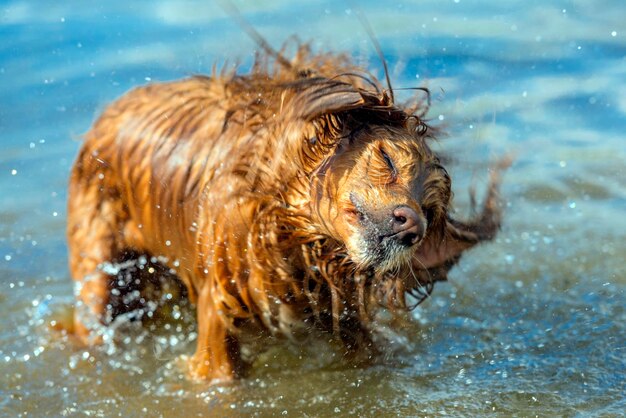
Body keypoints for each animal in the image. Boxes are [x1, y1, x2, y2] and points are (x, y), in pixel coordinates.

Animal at [66, 42, 504, 382]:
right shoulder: (219, 304)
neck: (289, 230)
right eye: (387, 159)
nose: (412, 225)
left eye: (429, 211)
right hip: (104, 275)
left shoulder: (343, 314)